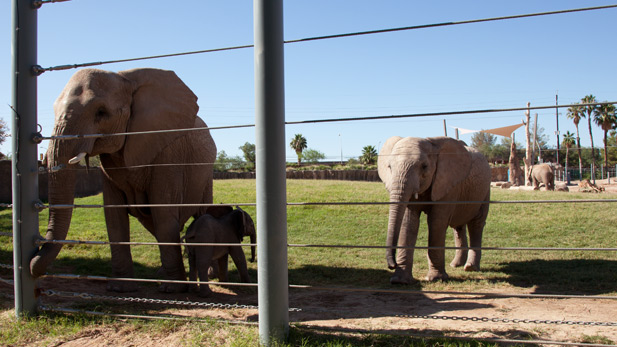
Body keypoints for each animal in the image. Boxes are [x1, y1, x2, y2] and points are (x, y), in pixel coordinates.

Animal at [29, 68, 217, 294]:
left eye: (101, 112)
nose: (33, 257)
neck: (126, 77)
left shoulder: (169, 154)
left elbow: (163, 213)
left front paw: (172, 290)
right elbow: (114, 217)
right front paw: (120, 288)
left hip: (206, 175)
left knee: (199, 214)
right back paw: (161, 273)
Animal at [376, 136, 490, 286]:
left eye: (424, 166)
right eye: (389, 167)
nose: (392, 265)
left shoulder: (447, 184)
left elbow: (436, 222)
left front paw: (436, 278)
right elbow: (409, 223)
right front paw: (400, 281)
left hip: (485, 190)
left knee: (476, 224)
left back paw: (470, 268)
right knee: (458, 227)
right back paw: (456, 265)